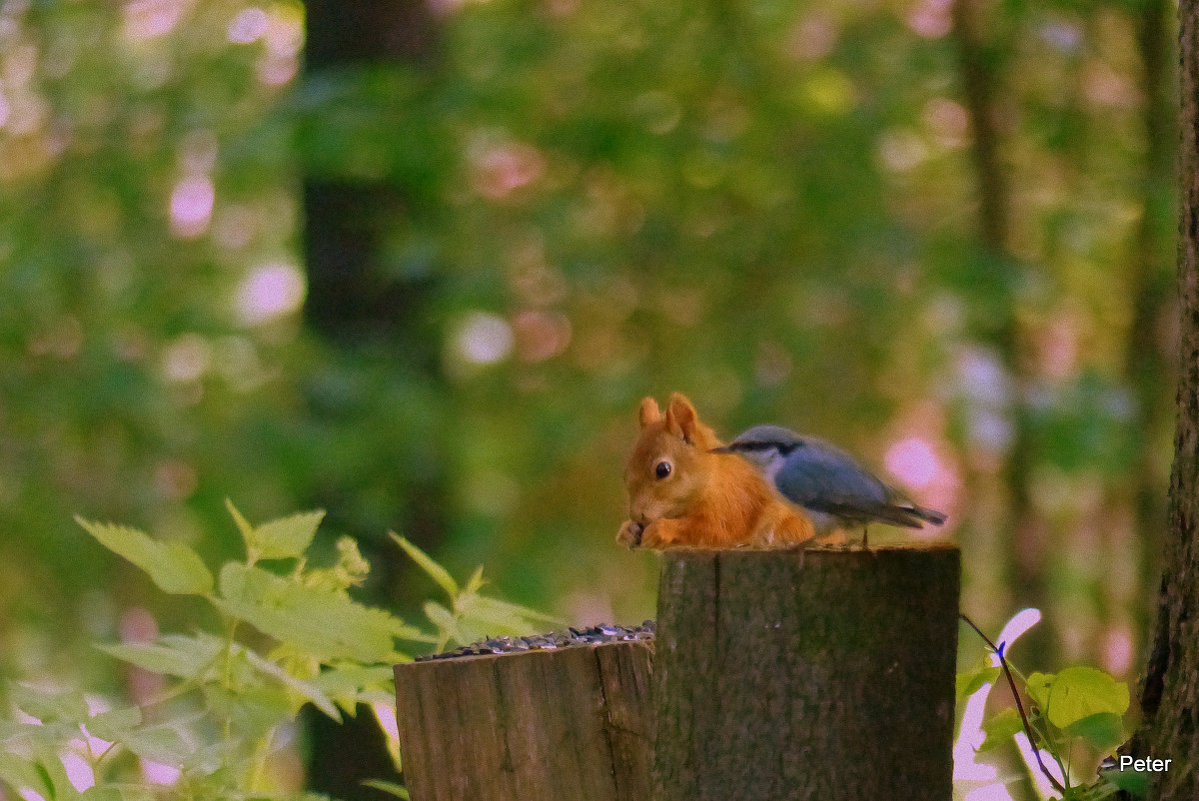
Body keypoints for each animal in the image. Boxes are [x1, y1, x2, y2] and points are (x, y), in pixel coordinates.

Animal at [618, 393, 815, 551]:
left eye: (663, 470)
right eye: (625, 472)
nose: (637, 516)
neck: (713, 478)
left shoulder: (734, 502)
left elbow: (716, 529)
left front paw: (662, 529)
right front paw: (627, 531)